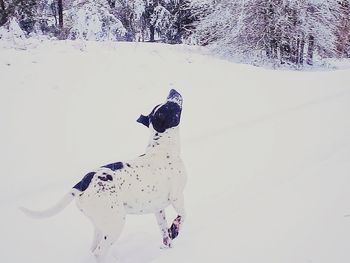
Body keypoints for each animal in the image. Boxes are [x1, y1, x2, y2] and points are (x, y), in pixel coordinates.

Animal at [20, 89, 187, 262]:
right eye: (170, 105)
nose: (173, 90)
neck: (163, 148)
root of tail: (84, 181)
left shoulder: (158, 209)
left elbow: (164, 231)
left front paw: (168, 245)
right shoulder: (177, 197)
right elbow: (182, 216)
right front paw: (175, 229)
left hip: (100, 226)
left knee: (93, 248)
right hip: (116, 224)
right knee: (99, 252)